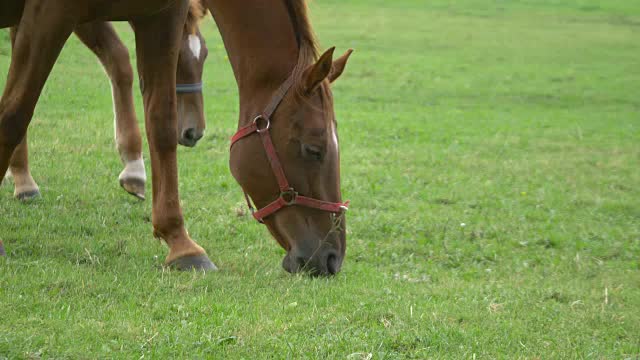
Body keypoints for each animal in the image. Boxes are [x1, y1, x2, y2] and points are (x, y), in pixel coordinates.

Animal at [0, 0, 350, 276]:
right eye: (313, 148)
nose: (332, 258)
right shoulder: (52, 13)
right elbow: (15, 113)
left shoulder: (162, 16)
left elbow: (162, 124)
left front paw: (182, 245)